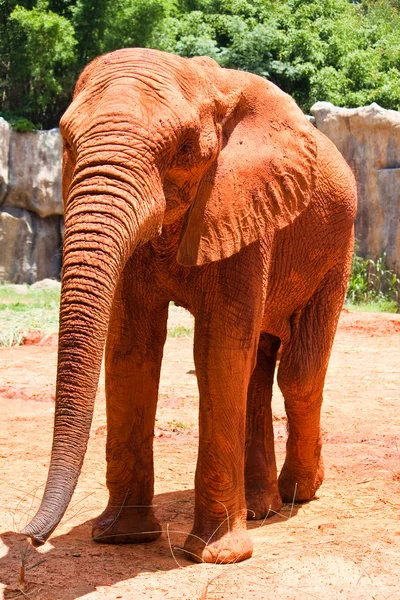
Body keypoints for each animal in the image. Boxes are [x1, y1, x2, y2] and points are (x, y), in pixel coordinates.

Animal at [21, 47, 356, 564]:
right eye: (68, 143)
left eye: (182, 150)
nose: (29, 537)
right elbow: (132, 349)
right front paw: (122, 536)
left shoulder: (245, 202)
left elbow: (217, 352)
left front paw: (216, 557)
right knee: (257, 369)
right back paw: (260, 508)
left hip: (337, 246)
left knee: (297, 372)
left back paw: (300, 493)